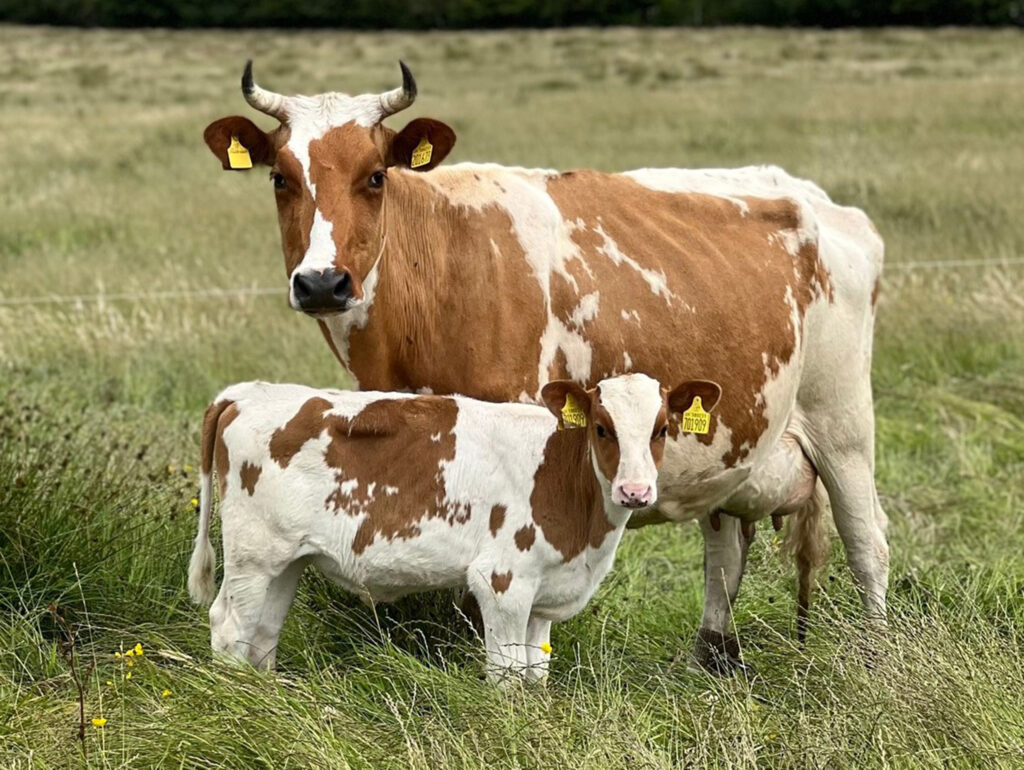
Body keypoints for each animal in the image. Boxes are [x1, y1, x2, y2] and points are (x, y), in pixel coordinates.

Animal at [190, 376, 720, 683]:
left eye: (661, 430)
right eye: (602, 428)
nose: (635, 491)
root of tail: (245, 392)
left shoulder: (544, 595)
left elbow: (536, 673)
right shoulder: (502, 582)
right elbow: (507, 676)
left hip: (286, 561)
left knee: (262, 633)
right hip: (253, 555)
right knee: (229, 628)